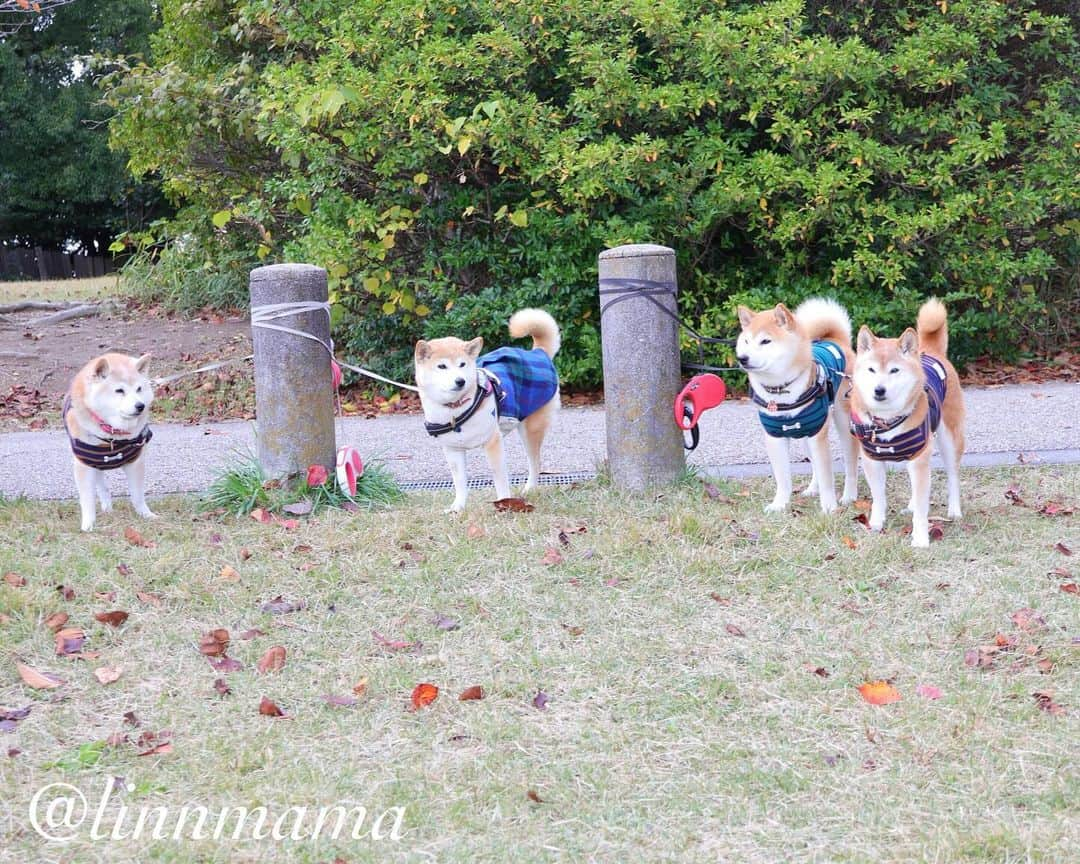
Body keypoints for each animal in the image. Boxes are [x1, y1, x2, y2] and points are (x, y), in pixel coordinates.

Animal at [64, 352, 156, 529]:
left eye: (139, 389)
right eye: (119, 390)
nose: (140, 406)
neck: (112, 435)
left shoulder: (135, 462)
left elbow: (137, 495)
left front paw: (145, 515)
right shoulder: (84, 465)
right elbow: (87, 499)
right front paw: (88, 524)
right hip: (95, 464)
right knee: (102, 487)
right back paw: (107, 507)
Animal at [412, 308, 561, 509]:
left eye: (462, 364)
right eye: (442, 366)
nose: (460, 381)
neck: (456, 409)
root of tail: (538, 352)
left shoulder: (492, 442)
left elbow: (500, 479)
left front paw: (505, 503)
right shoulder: (453, 450)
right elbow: (459, 482)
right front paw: (458, 507)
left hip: (530, 428)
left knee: (535, 462)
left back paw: (529, 489)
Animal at [734, 298, 859, 514]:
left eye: (765, 341)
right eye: (746, 342)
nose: (743, 358)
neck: (780, 391)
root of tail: (836, 340)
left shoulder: (818, 434)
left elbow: (827, 478)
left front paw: (829, 507)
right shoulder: (775, 437)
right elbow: (783, 479)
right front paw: (779, 504)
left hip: (844, 425)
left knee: (850, 466)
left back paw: (849, 496)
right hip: (806, 436)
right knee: (815, 465)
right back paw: (812, 489)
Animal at [846, 298, 967, 546]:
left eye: (894, 370)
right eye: (871, 369)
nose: (879, 390)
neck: (886, 420)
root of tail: (929, 350)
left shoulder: (919, 457)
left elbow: (922, 510)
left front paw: (920, 539)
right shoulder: (872, 459)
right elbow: (879, 497)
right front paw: (876, 524)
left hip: (950, 439)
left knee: (953, 476)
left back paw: (954, 511)